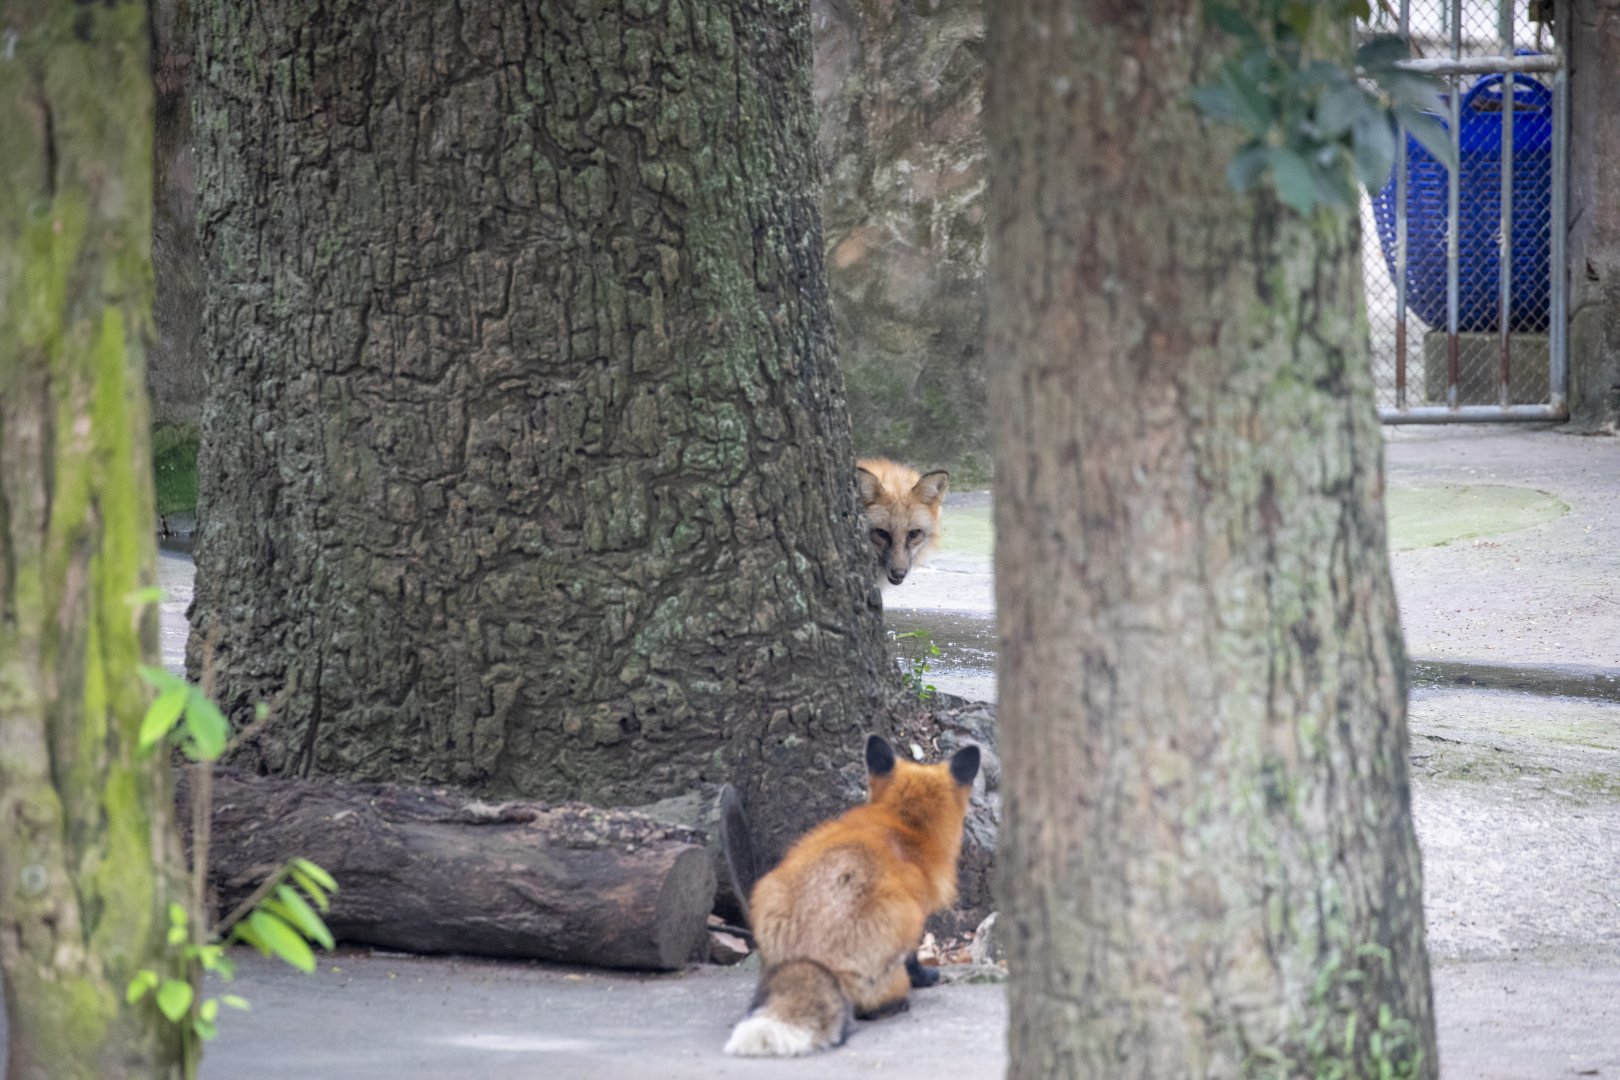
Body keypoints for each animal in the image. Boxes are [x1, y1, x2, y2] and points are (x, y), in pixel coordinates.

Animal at [719, 734, 981, 1057]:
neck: (902, 824)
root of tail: (809, 957)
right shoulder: (917, 916)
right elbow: (913, 960)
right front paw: (925, 978)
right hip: (900, 924)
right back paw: (894, 1005)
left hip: (767, 895)